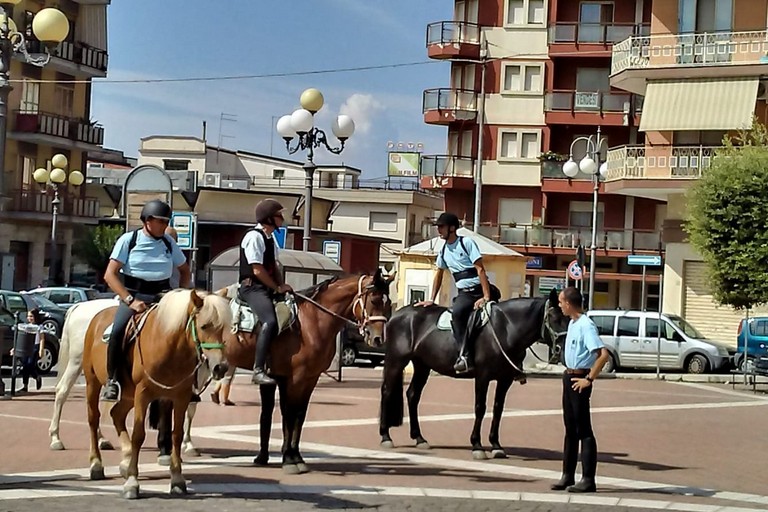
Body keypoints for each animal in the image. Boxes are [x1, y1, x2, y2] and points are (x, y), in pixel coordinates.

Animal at [49, 296, 208, 460]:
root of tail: (78, 306)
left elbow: (190, 409)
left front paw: (187, 444)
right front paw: (168, 447)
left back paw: (102, 439)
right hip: (77, 362)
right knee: (63, 391)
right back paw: (56, 438)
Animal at [82, 290, 231, 498]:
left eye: (223, 327)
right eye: (204, 326)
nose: (221, 367)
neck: (168, 344)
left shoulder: (180, 396)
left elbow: (177, 434)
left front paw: (177, 479)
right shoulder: (143, 394)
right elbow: (138, 435)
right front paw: (132, 482)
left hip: (128, 394)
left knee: (116, 414)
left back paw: (125, 460)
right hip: (93, 383)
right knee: (93, 418)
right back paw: (96, 464)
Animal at [380, 288, 568, 460]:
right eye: (555, 318)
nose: (562, 350)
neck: (505, 329)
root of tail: (397, 314)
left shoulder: (505, 379)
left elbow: (498, 409)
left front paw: (496, 446)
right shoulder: (483, 377)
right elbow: (480, 408)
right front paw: (477, 445)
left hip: (422, 365)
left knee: (413, 395)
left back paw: (419, 438)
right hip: (396, 361)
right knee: (387, 391)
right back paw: (385, 436)